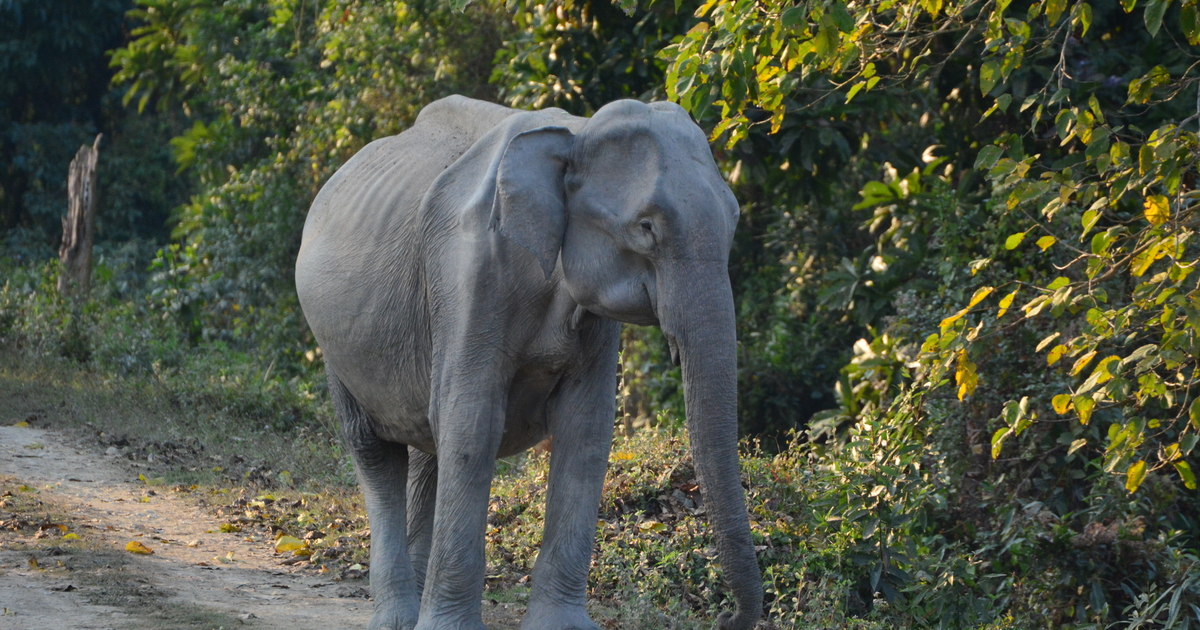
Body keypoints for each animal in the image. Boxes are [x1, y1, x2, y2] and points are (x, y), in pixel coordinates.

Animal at [298, 94, 763, 628]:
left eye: (734, 219)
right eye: (646, 228)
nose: (724, 618)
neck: (576, 132)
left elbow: (586, 429)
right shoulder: (468, 275)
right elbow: (472, 422)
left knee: (427, 449)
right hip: (335, 344)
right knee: (376, 450)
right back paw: (397, 618)